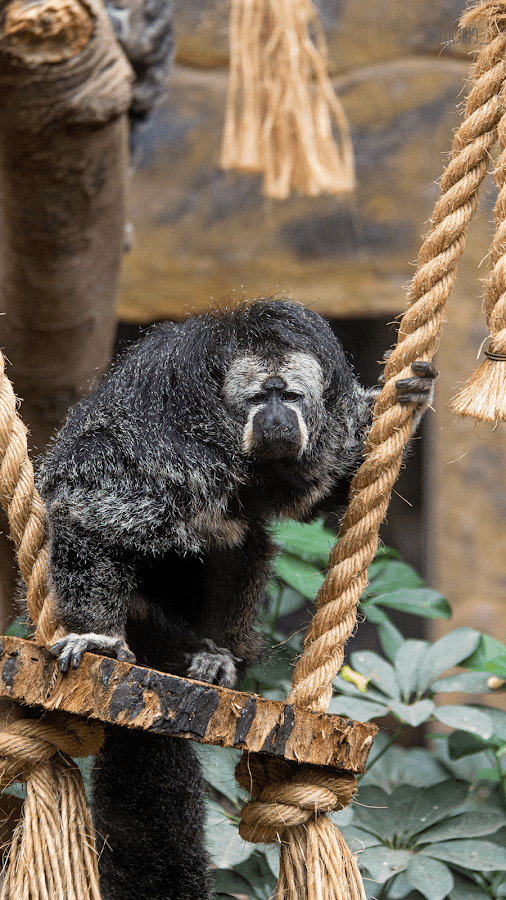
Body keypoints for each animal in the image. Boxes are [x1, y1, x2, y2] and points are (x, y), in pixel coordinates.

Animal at [38, 300, 437, 900]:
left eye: (289, 396)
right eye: (257, 398)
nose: (275, 419)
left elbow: (332, 482)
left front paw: (409, 402)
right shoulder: (164, 436)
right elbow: (91, 504)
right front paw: (99, 637)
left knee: (241, 538)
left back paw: (217, 653)